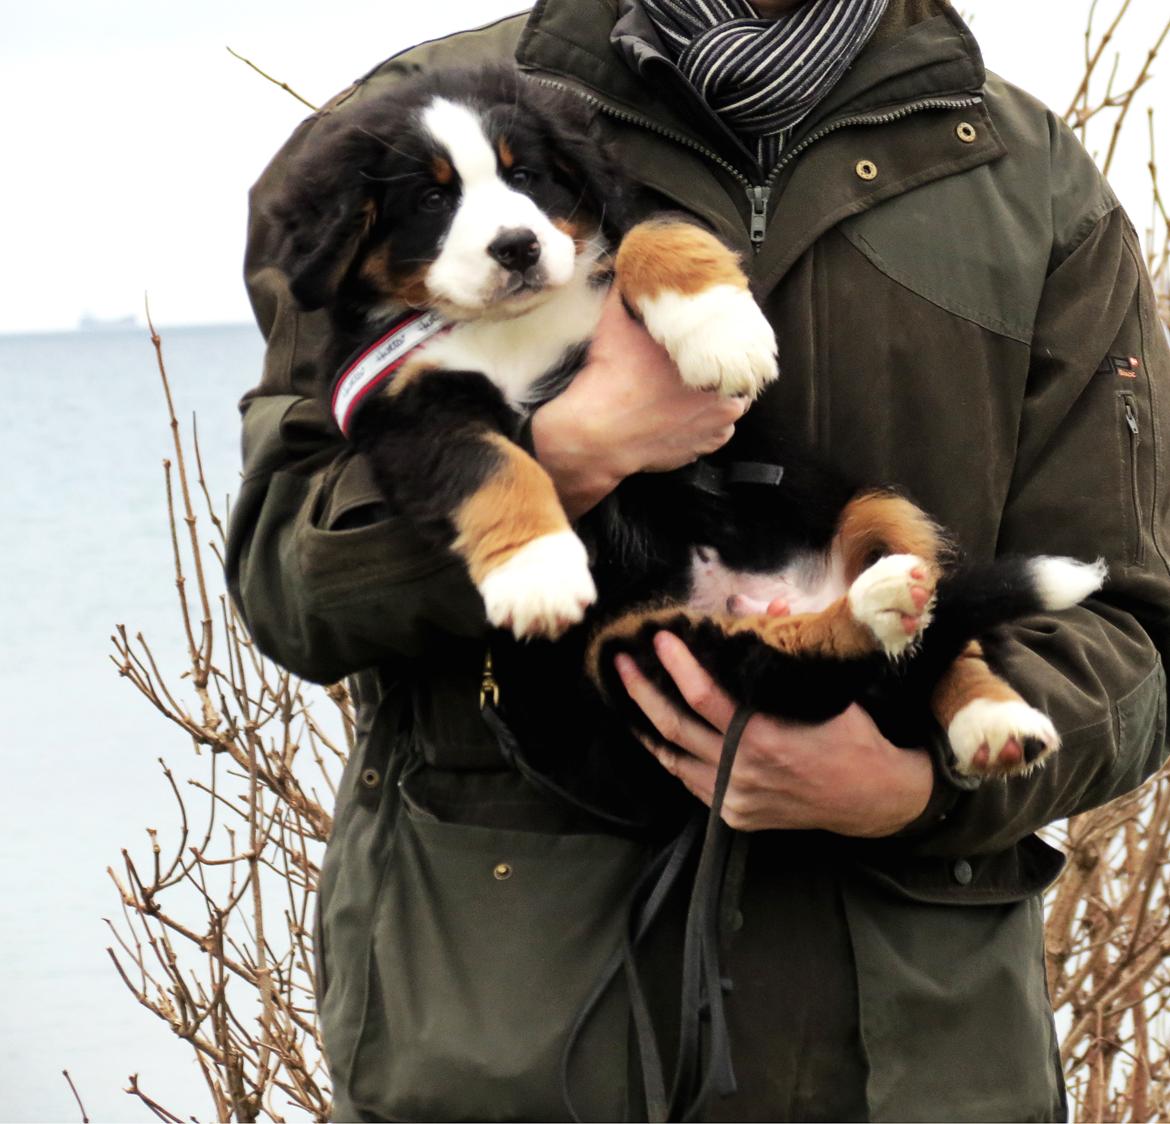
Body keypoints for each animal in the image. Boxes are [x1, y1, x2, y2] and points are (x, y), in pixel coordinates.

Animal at [271, 63, 1104, 814]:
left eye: (528, 175)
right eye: (433, 198)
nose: (518, 247)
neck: (513, 326)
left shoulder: (609, 241)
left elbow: (655, 230)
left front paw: (722, 332)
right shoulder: (406, 406)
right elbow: (493, 464)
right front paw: (537, 571)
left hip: (870, 502)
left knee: (934, 639)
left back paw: (990, 713)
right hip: (641, 649)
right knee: (799, 666)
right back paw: (879, 608)